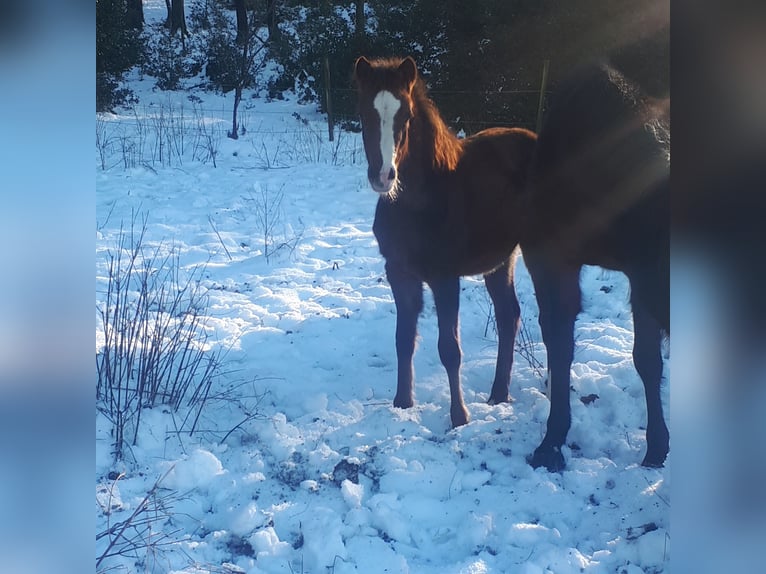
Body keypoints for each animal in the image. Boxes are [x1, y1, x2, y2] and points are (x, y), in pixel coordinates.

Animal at [356, 57, 540, 428]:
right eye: (365, 114)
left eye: (406, 116)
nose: (383, 176)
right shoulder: (399, 273)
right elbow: (403, 340)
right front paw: (402, 402)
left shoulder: (444, 278)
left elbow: (449, 349)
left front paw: (459, 417)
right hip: (501, 260)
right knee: (508, 316)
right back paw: (499, 395)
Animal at [520, 62, 672, 472]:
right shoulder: (551, 259)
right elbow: (561, 344)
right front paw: (551, 443)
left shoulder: (642, 270)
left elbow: (648, 360)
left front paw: (657, 449)